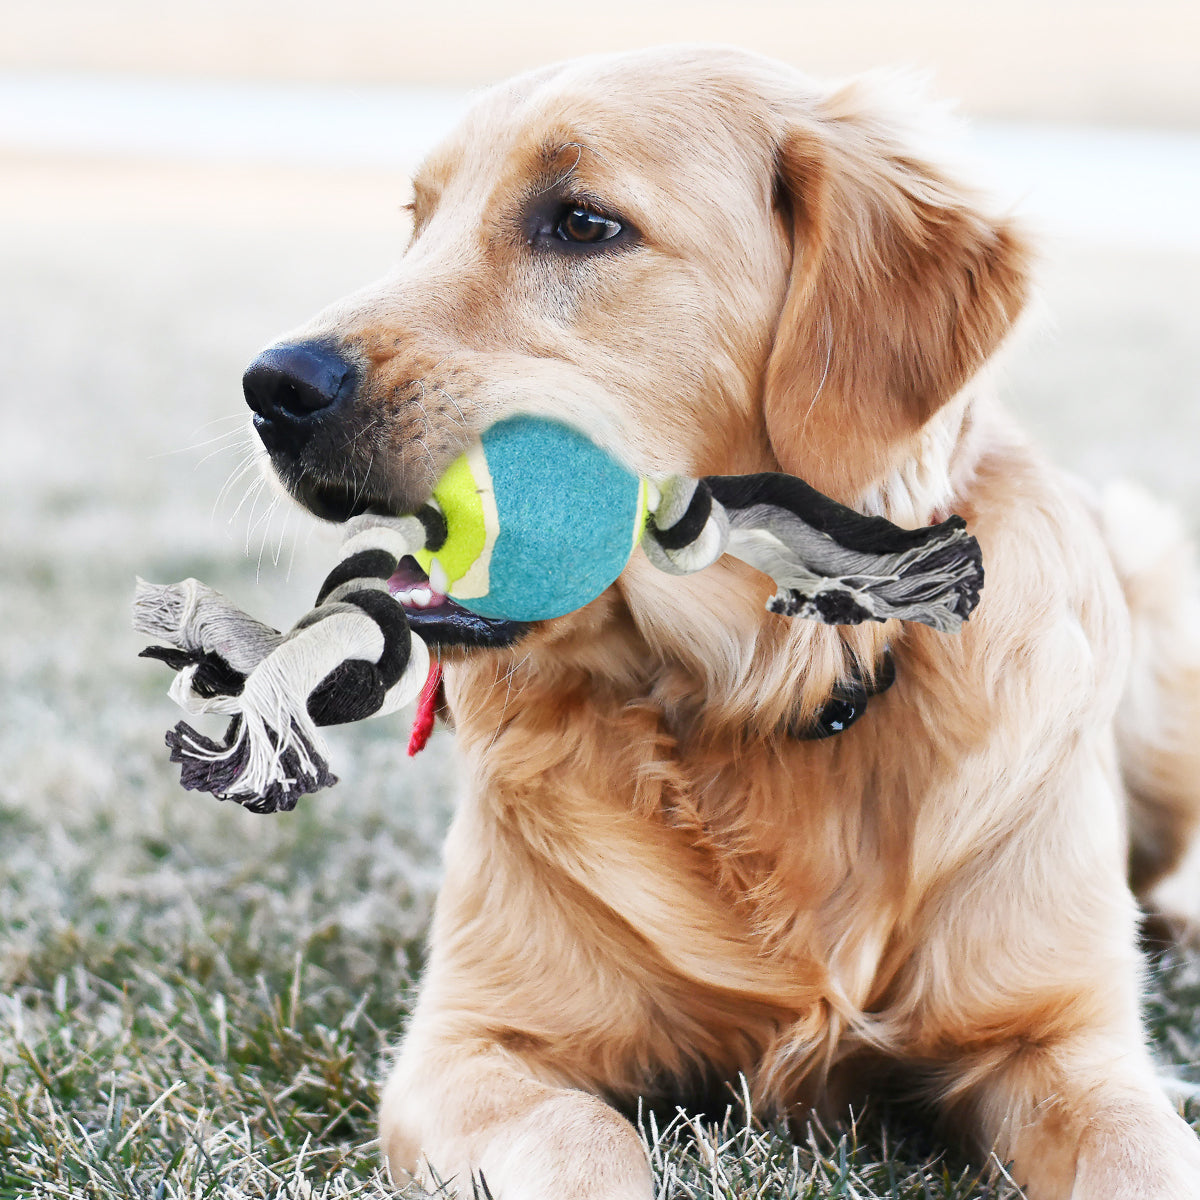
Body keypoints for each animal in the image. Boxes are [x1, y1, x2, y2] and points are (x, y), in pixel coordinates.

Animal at [238, 44, 1200, 1200]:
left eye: (582, 222)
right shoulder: (472, 1043)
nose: (271, 386)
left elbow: (1138, 1150)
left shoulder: (1066, 1042)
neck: (757, 699)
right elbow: (581, 1142)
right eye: (418, 220)